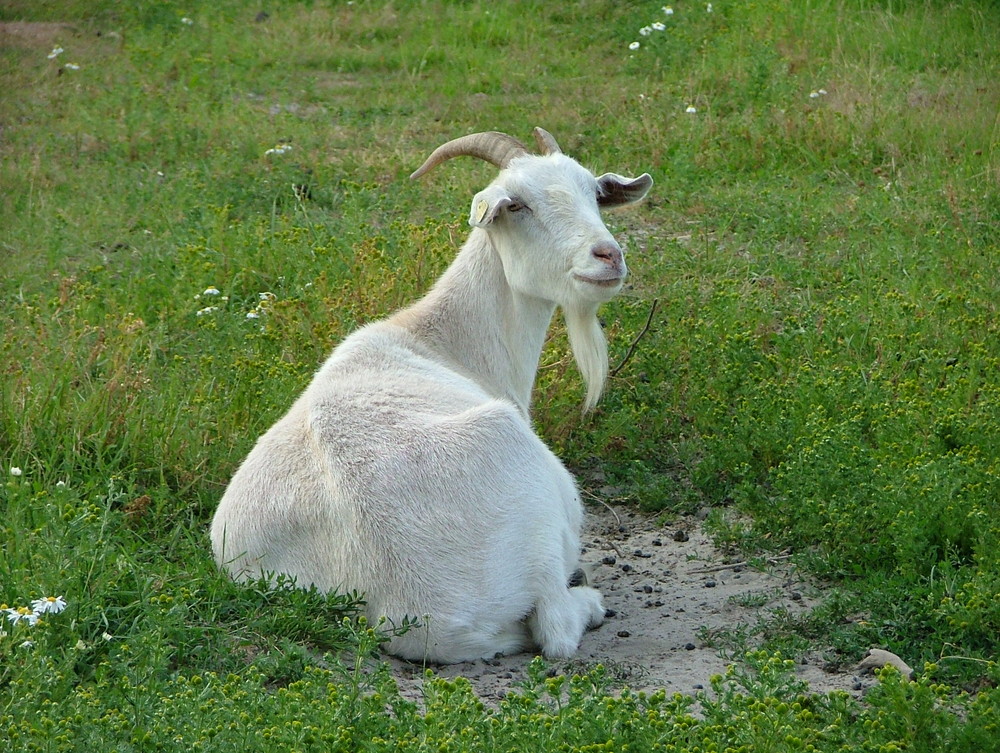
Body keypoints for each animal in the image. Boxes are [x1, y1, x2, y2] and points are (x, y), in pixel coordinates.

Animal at [211, 129, 652, 664]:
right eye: (517, 204)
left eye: (593, 192)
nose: (608, 256)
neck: (441, 341)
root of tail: (418, 608)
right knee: (556, 629)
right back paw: (587, 600)